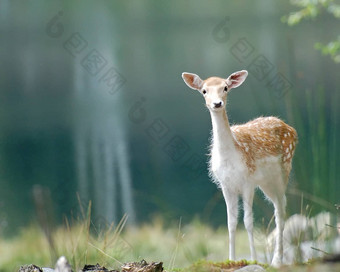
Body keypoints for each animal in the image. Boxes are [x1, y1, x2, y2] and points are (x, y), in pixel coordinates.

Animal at [182, 69, 296, 266]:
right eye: (204, 91)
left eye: (225, 88)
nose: (217, 103)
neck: (230, 159)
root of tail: (290, 128)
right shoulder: (225, 185)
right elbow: (231, 222)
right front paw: (231, 259)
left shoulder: (248, 181)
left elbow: (248, 221)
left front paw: (254, 259)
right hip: (266, 182)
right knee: (279, 207)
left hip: (283, 171)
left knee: (281, 211)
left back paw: (277, 260)